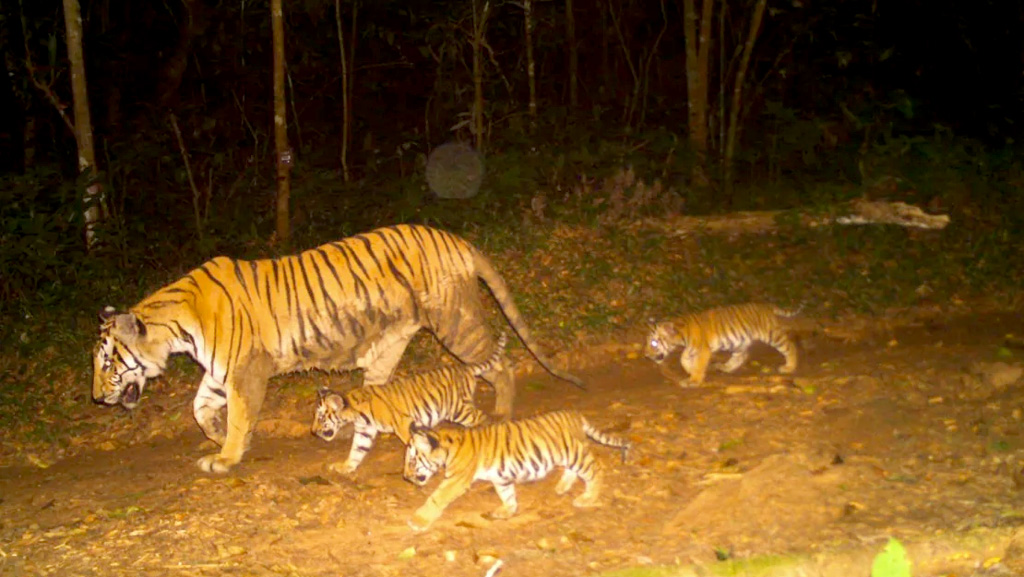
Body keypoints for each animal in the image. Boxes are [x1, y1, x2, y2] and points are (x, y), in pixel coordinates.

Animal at [92, 224, 585, 473]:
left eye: (106, 361)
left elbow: (237, 416)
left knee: (499, 364)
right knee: (376, 395)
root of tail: (457, 239)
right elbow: (199, 408)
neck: (176, 327)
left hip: (455, 322)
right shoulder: (219, 371)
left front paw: (226, 455)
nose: (96, 398)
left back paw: (502, 412)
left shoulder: (244, 372)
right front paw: (214, 436)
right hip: (390, 343)